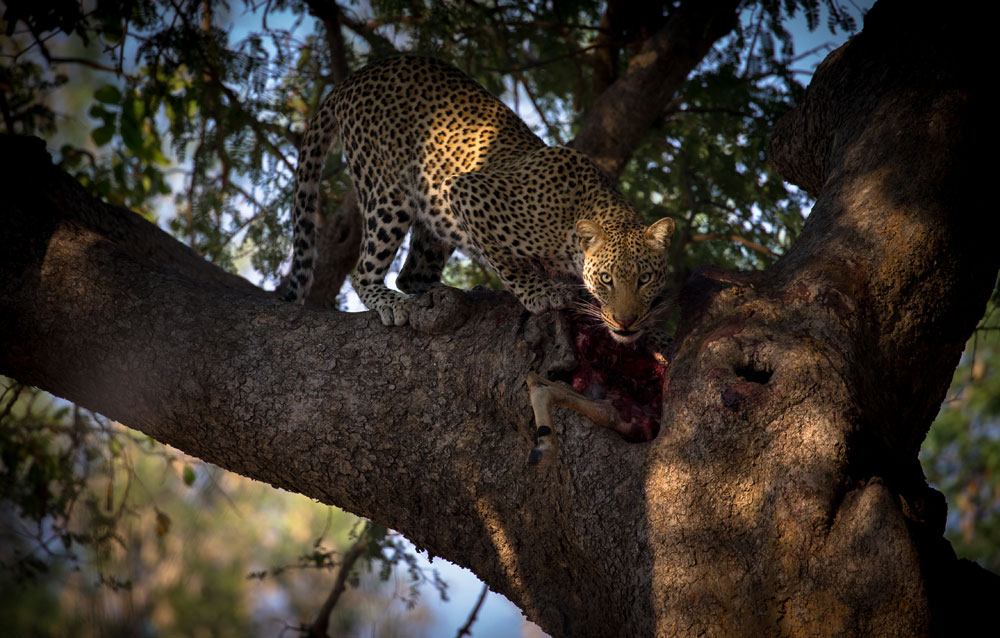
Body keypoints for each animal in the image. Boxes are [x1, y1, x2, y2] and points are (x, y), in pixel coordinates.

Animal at [286, 55, 676, 348]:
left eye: (644, 279)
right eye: (607, 279)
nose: (625, 322)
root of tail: (355, 76)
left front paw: (655, 335)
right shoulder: (467, 190)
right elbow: (508, 264)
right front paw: (540, 293)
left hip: (434, 214)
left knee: (411, 274)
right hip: (389, 194)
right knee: (365, 272)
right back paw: (392, 303)